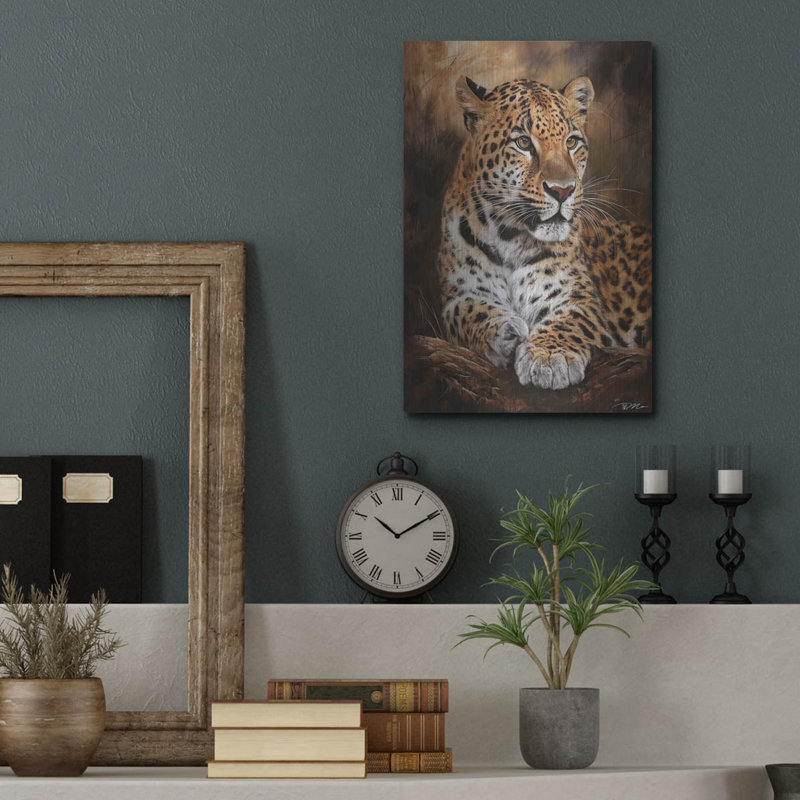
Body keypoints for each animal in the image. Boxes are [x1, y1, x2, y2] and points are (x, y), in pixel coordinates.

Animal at [437, 74, 651, 390]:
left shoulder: (581, 299)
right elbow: (463, 311)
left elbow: (569, 321)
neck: (508, 235)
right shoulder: (458, 293)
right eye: (523, 142)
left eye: (571, 142)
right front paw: (504, 332)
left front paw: (550, 357)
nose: (563, 191)